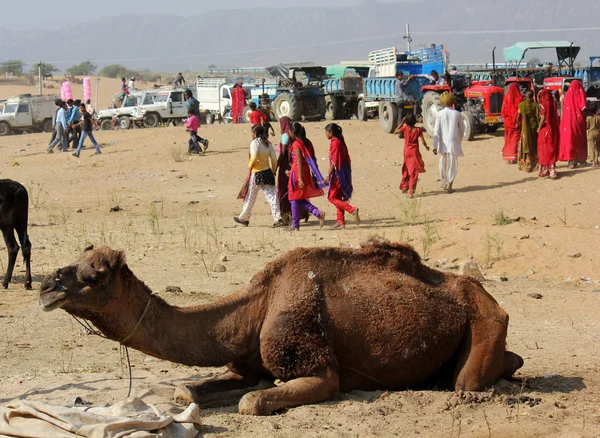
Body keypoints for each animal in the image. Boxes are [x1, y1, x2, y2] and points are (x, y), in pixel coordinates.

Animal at [39, 238, 524, 416]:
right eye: (77, 261)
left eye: (94, 275)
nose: (46, 285)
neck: (254, 306)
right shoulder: (245, 362)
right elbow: (189, 390)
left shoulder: (315, 365)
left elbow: (252, 402)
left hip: (485, 318)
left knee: (467, 382)